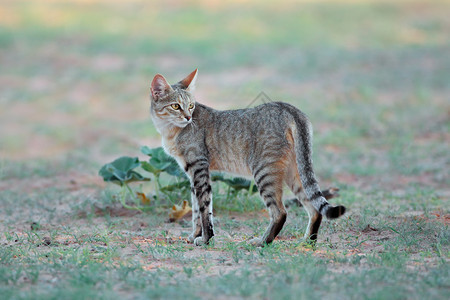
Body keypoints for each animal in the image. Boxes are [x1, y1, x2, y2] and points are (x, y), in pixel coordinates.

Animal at [149, 69, 346, 246]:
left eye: (191, 105)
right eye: (176, 106)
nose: (188, 117)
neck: (170, 131)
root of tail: (288, 108)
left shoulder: (199, 169)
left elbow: (205, 209)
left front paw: (206, 239)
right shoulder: (191, 174)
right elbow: (197, 209)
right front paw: (194, 235)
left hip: (264, 172)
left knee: (280, 212)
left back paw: (263, 241)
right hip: (295, 173)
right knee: (314, 209)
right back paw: (308, 242)